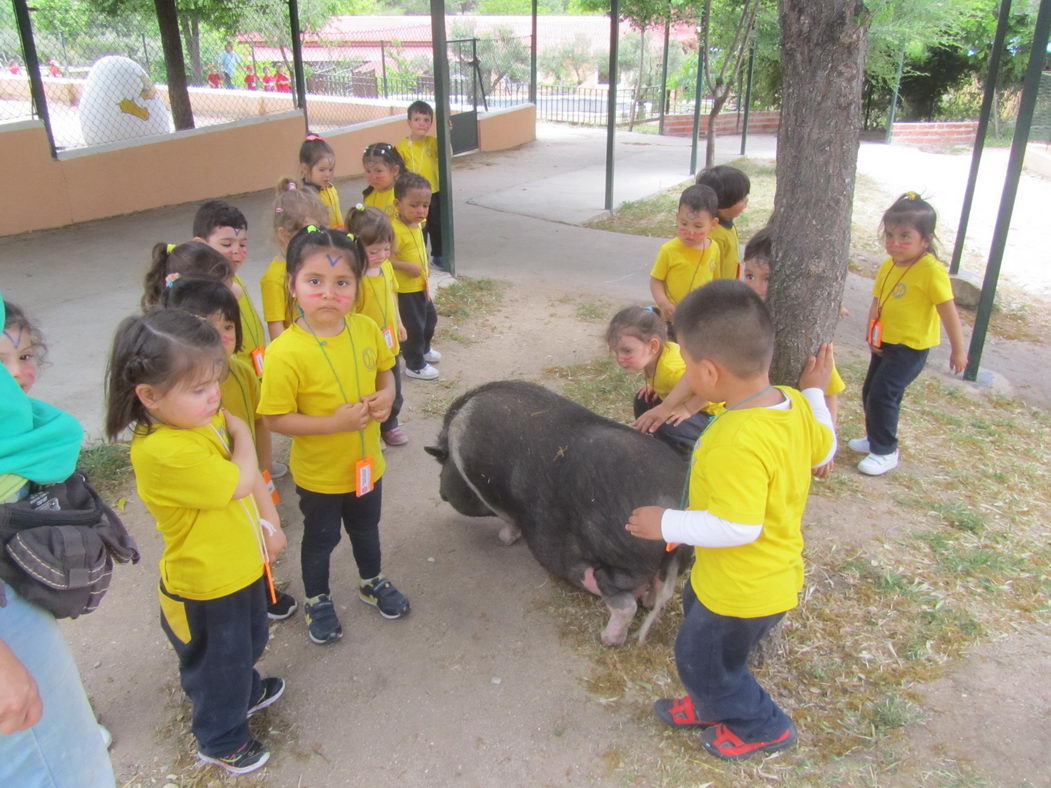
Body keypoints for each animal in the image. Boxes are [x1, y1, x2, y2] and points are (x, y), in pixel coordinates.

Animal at [422, 382, 693, 647]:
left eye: (441, 464)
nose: (441, 493)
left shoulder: (490, 493)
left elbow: (509, 521)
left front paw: (504, 538)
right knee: (656, 590)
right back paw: (646, 606)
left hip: (622, 565)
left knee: (624, 603)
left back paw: (607, 640)